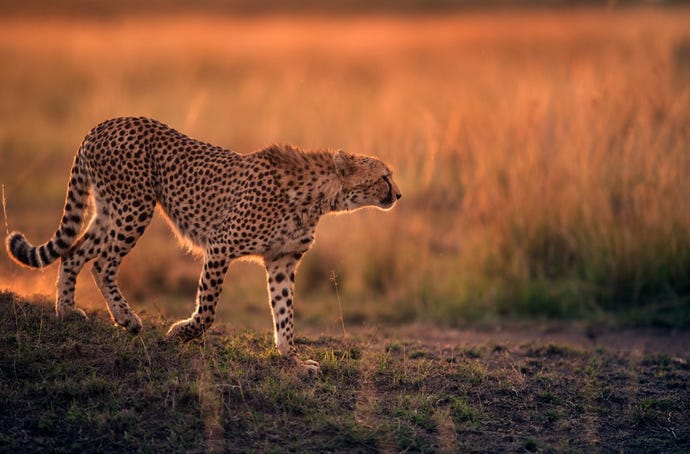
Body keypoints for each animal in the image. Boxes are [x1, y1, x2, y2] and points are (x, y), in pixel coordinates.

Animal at [5, 115, 400, 370]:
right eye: (384, 176)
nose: (399, 194)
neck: (319, 196)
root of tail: (105, 123)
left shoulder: (282, 261)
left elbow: (285, 313)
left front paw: (292, 359)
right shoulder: (221, 245)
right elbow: (209, 309)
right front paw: (182, 333)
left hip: (109, 210)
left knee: (74, 253)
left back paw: (67, 312)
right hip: (135, 207)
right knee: (102, 263)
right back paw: (127, 319)